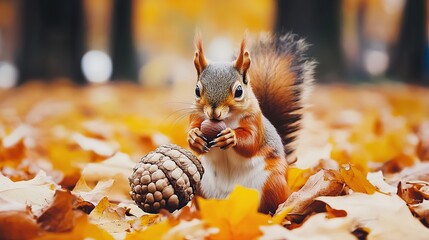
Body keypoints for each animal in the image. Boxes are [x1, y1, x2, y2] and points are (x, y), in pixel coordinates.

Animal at [187, 32, 314, 214]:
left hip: (272, 182)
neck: (226, 120)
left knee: (275, 202)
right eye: (197, 90)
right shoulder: (195, 116)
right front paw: (194, 136)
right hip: (201, 185)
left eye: (239, 91)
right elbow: (192, 135)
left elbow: (251, 142)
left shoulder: (254, 120)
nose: (213, 113)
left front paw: (231, 137)